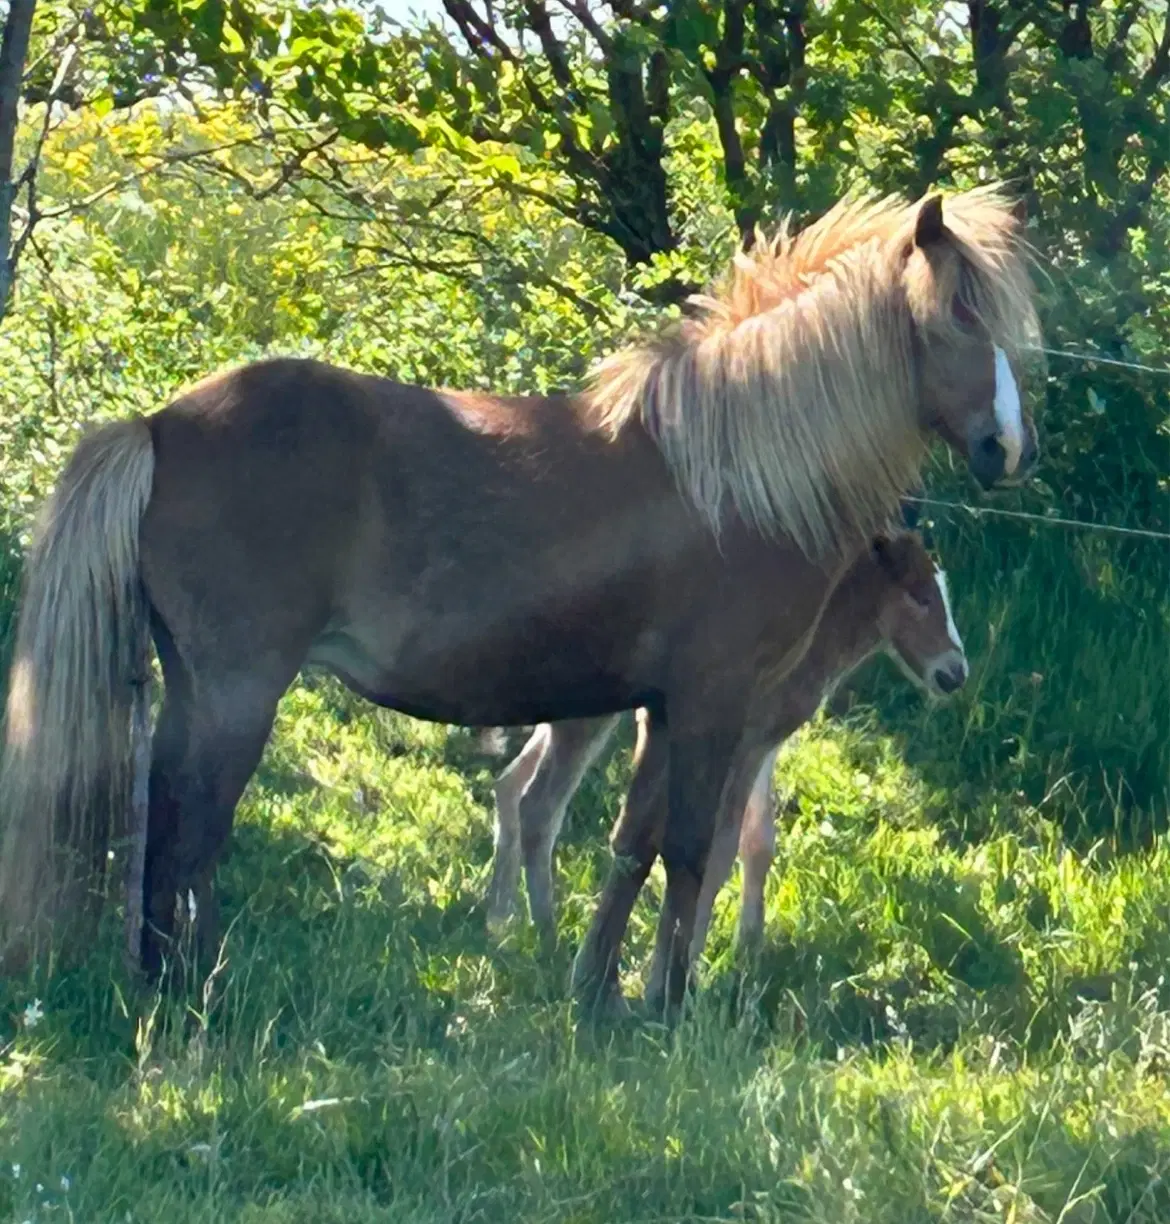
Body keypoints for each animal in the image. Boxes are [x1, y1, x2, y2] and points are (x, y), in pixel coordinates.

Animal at [484, 531, 969, 1008]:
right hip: (586, 719)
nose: (956, 673)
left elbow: (756, 842)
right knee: (539, 805)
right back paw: (547, 937)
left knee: (510, 785)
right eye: (920, 596)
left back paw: (501, 920)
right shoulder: (741, 745)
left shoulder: (761, 746)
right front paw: (687, 971)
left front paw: (746, 952)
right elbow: (717, 851)